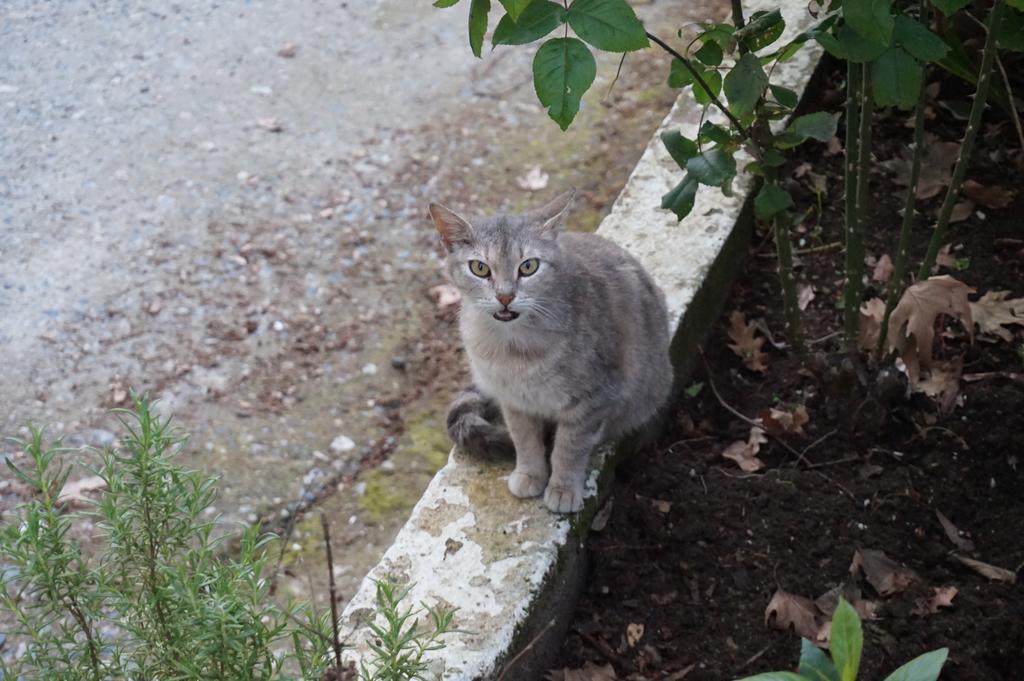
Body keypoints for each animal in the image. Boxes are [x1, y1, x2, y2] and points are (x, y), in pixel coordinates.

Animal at [430, 188, 675, 512]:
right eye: (479, 268)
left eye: (528, 266)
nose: (505, 296)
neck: (513, 349)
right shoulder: (514, 402)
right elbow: (525, 442)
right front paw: (530, 474)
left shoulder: (593, 400)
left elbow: (568, 448)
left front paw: (562, 488)